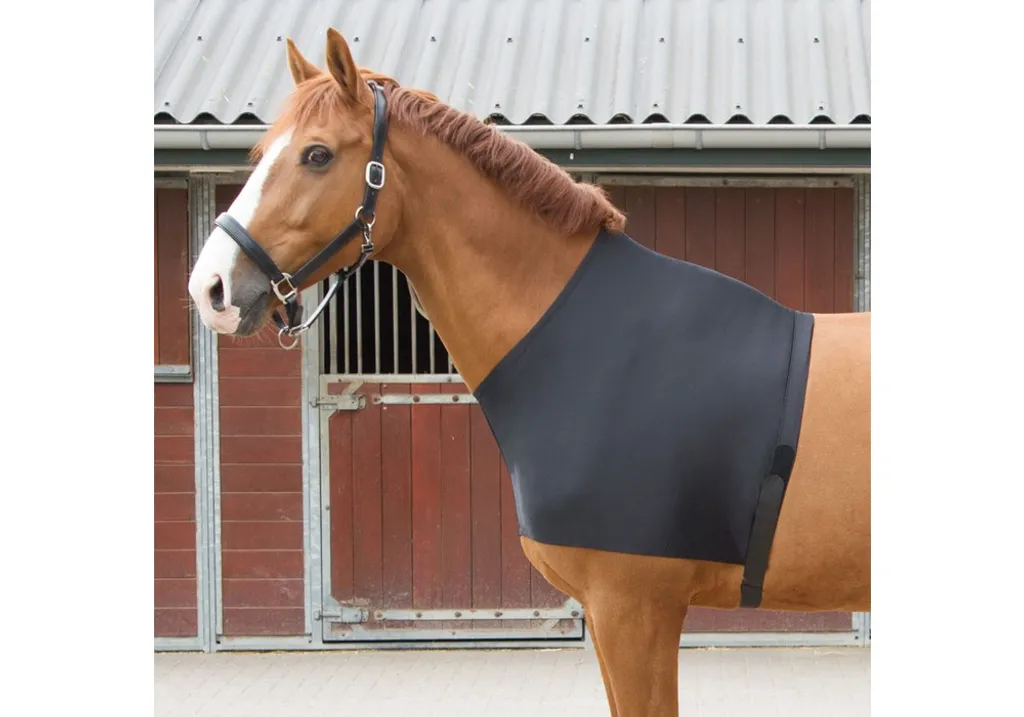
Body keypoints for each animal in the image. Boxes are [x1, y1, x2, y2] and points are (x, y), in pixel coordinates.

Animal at [187, 29, 870, 717]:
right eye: (260, 151)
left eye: (318, 154)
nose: (210, 288)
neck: (597, 347)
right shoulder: (615, 614)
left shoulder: (634, 609)